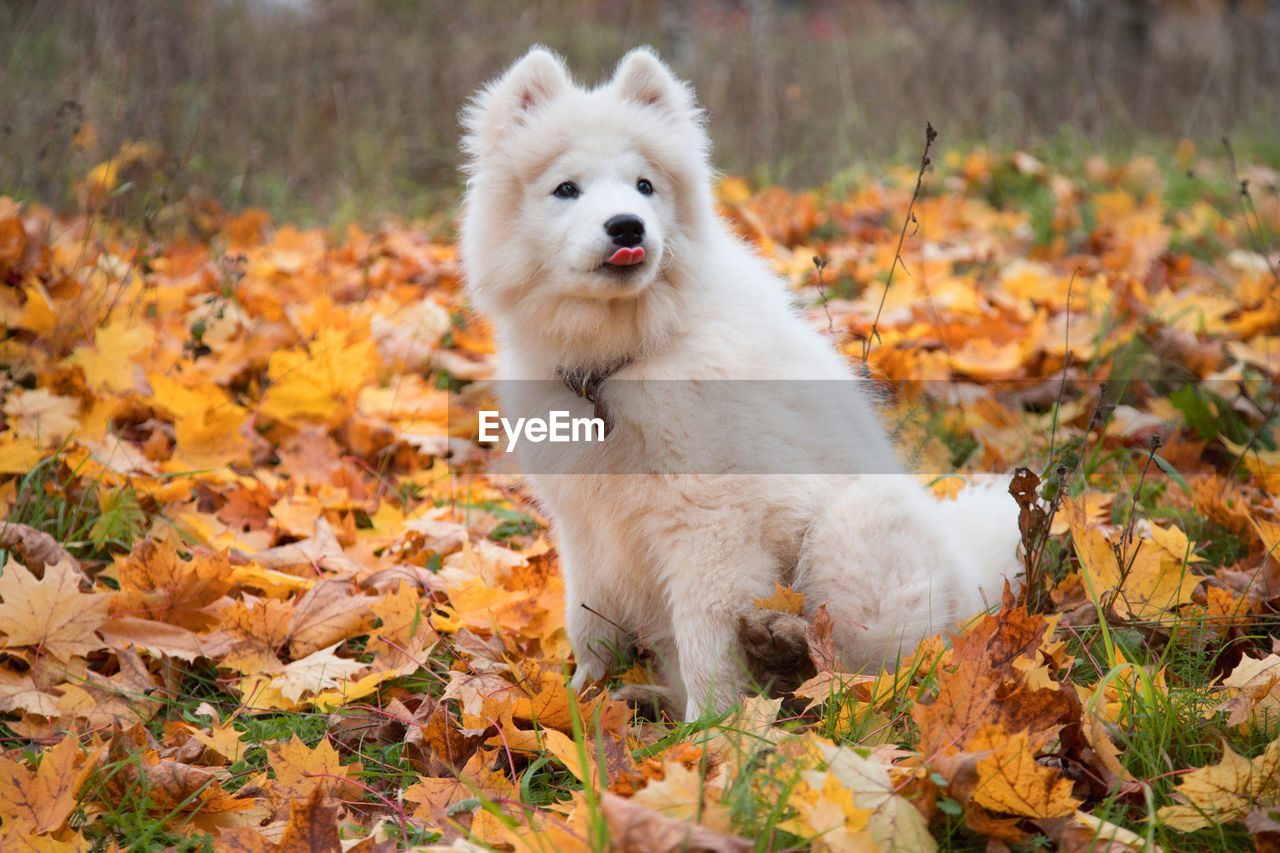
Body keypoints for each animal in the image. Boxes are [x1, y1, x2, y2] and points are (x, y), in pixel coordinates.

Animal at [460, 43, 1018, 712]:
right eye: (566, 189)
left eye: (645, 186)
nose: (627, 226)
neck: (622, 360)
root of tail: (972, 589)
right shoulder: (585, 526)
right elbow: (586, 621)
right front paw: (578, 701)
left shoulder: (711, 526)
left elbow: (705, 638)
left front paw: (713, 729)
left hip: (851, 530)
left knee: (868, 670)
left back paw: (787, 651)